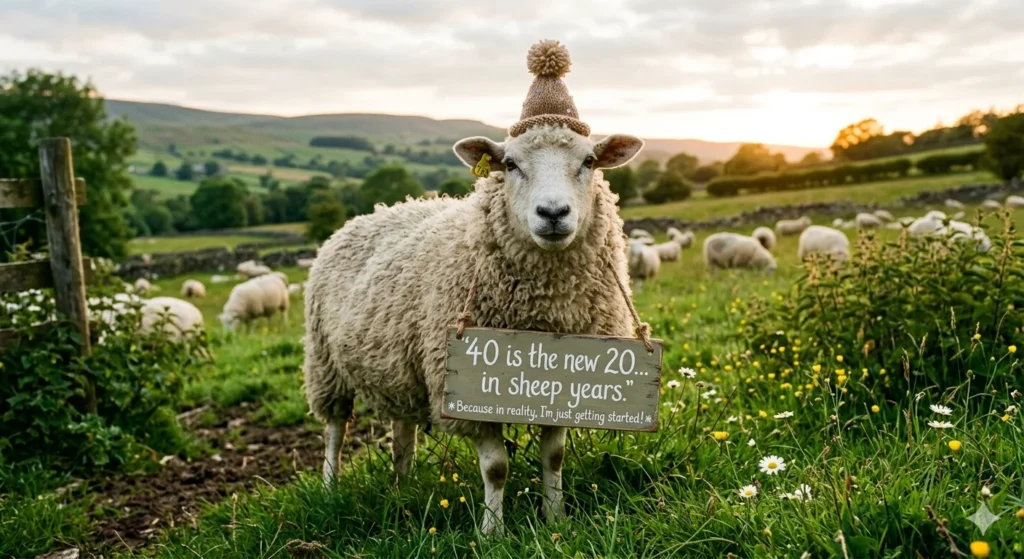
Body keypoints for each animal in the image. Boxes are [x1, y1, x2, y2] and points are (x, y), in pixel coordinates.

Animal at [304, 122, 645, 535]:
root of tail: (370, 214)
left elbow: (555, 457)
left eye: (590, 161)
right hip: (325, 365)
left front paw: (556, 518)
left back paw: (403, 487)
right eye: (510, 164)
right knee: (335, 431)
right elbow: (496, 468)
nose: (552, 213)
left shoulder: (562, 393)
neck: (549, 306)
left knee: (402, 433)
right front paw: (492, 532)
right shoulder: (466, 395)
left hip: (401, 370)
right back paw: (330, 489)